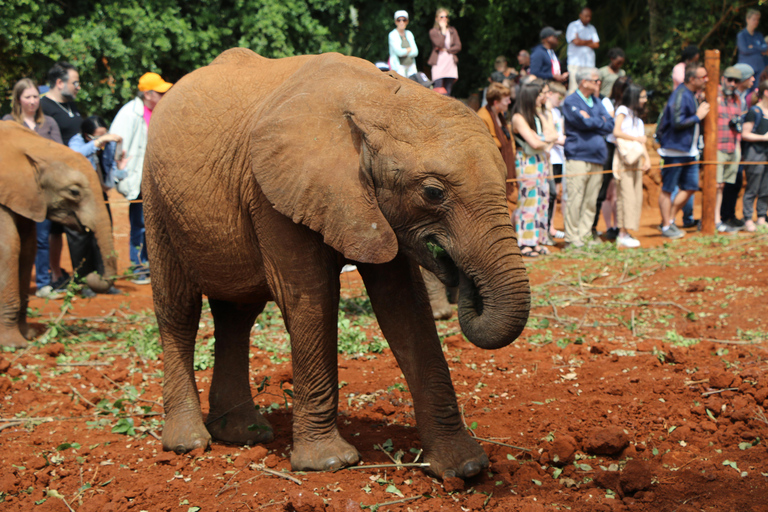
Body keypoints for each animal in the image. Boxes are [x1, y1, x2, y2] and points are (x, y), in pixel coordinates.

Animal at [0, 122, 117, 350]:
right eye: (74, 192)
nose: (92, 276)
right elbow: (9, 247)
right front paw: (14, 345)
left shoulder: (27, 195)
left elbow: (27, 249)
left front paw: (29, 335)